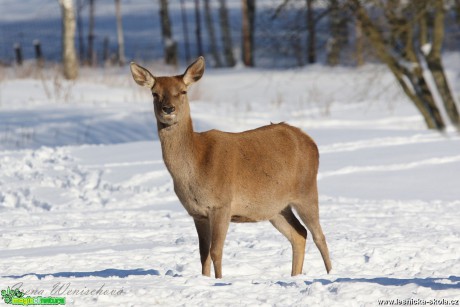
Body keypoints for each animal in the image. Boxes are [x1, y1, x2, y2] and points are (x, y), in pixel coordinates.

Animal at [129, 57, 330, 280]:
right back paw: (295, 276)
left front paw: (219, 281)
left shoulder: (222, 204)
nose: (168, 109)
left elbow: (216, 251)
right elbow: (203, 254)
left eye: (183, 91)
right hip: (276, 207)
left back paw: (331, 274)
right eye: (155, 93)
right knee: (299, 234)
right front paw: (205, 280)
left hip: (306, 191)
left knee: (319, 235)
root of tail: (311, 142)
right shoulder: (197, 213)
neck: (196, 168)